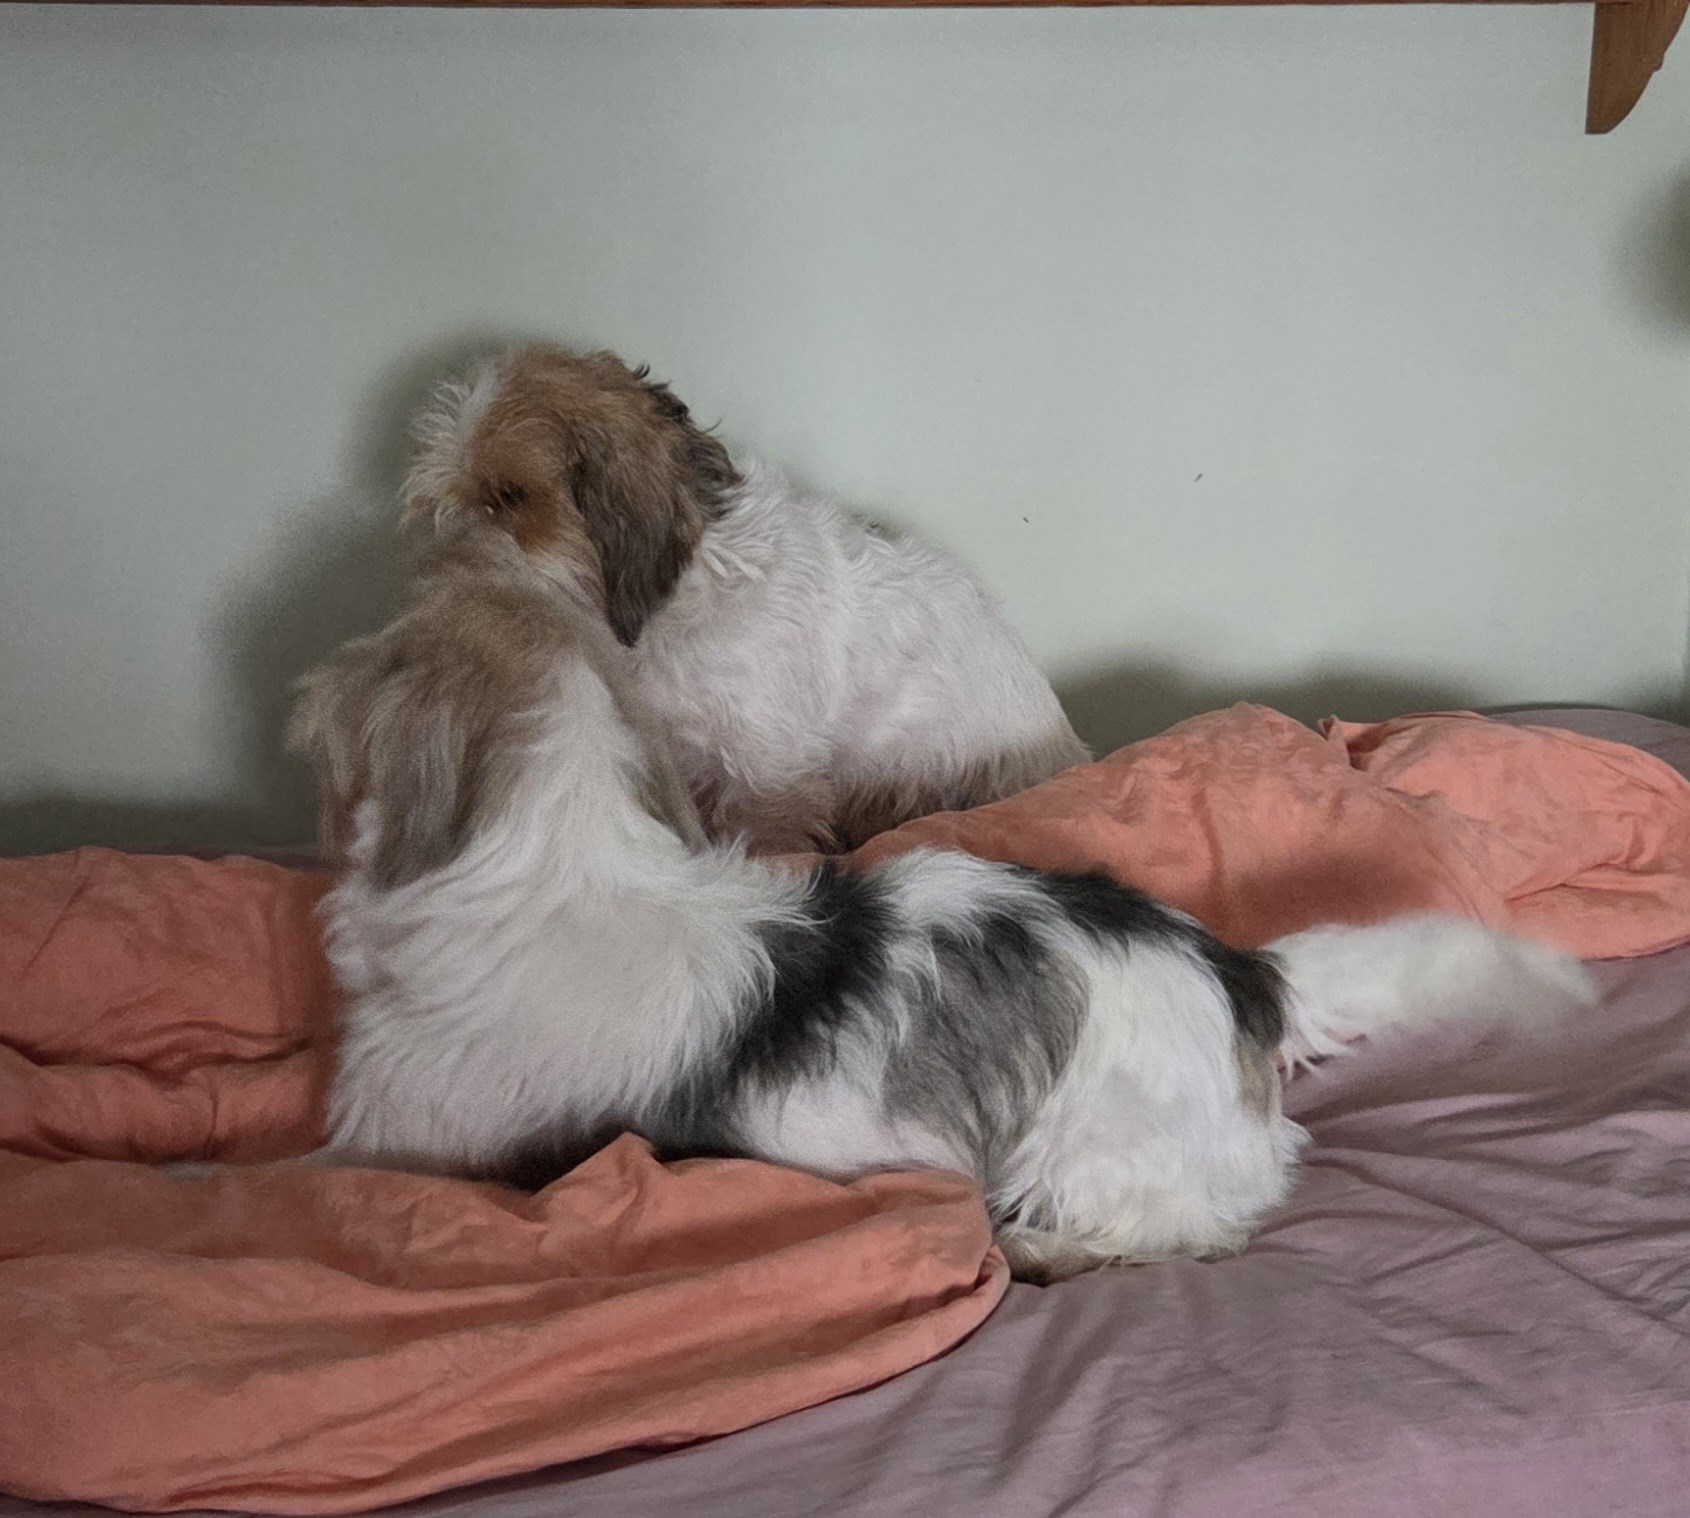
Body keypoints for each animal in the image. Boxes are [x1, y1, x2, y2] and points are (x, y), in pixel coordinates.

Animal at [287, 514, 1596, 1283]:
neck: (564, 849)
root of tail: (1241, 973)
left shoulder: (397, 1147)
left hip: (1084, 1157)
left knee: (1184, 1225)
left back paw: (1043, 1247)